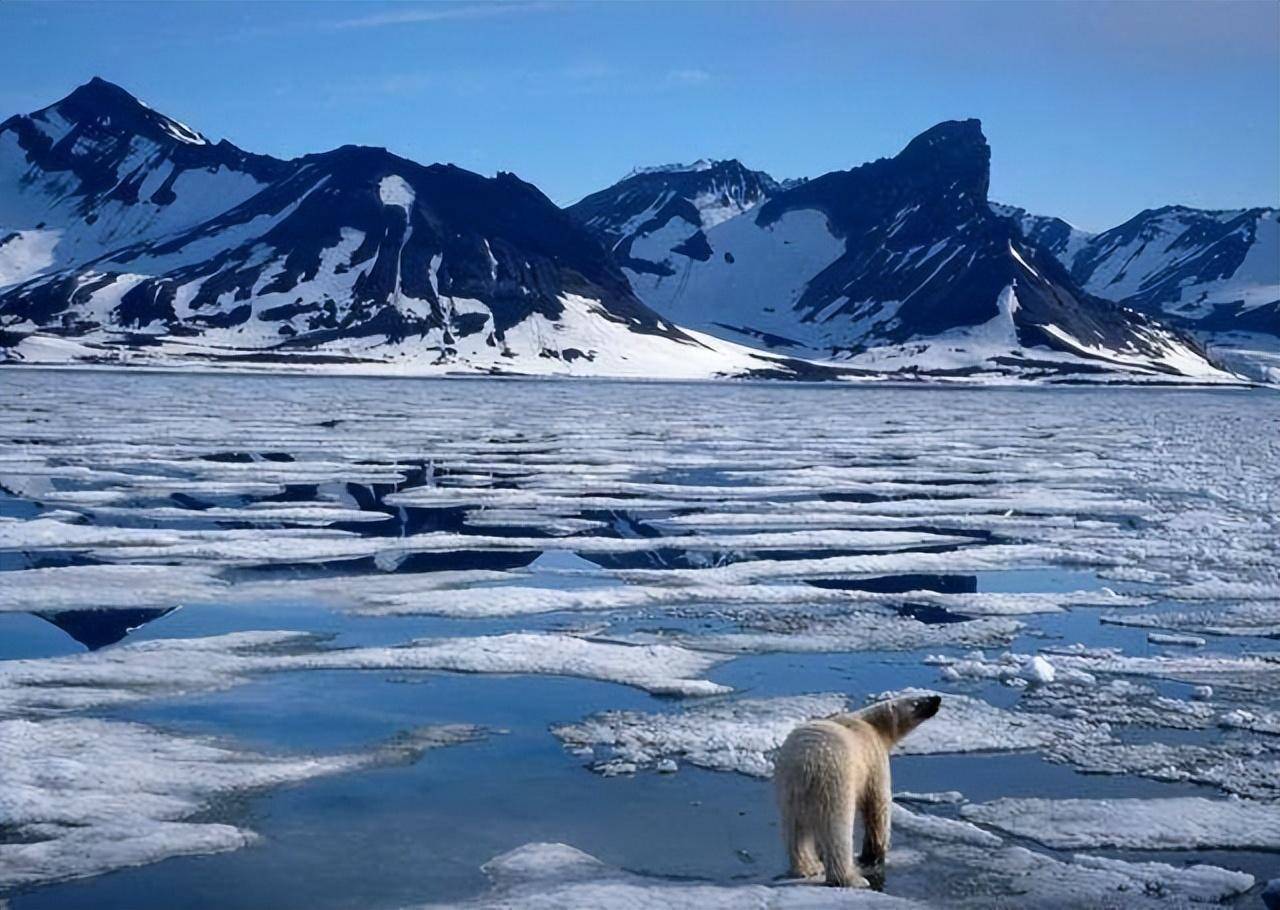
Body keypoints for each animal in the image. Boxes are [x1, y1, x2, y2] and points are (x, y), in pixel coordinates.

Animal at [768, 696, 942, 885]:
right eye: (916, 702)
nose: (937, 699)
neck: (871, 724)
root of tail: (804, 767)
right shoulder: (873, 758)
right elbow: (877, 805)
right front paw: (873, 856)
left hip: (787, 792)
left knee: (795, 831)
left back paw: (809, 868)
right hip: (834, 782)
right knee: (837, 828)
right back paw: (851, 879)